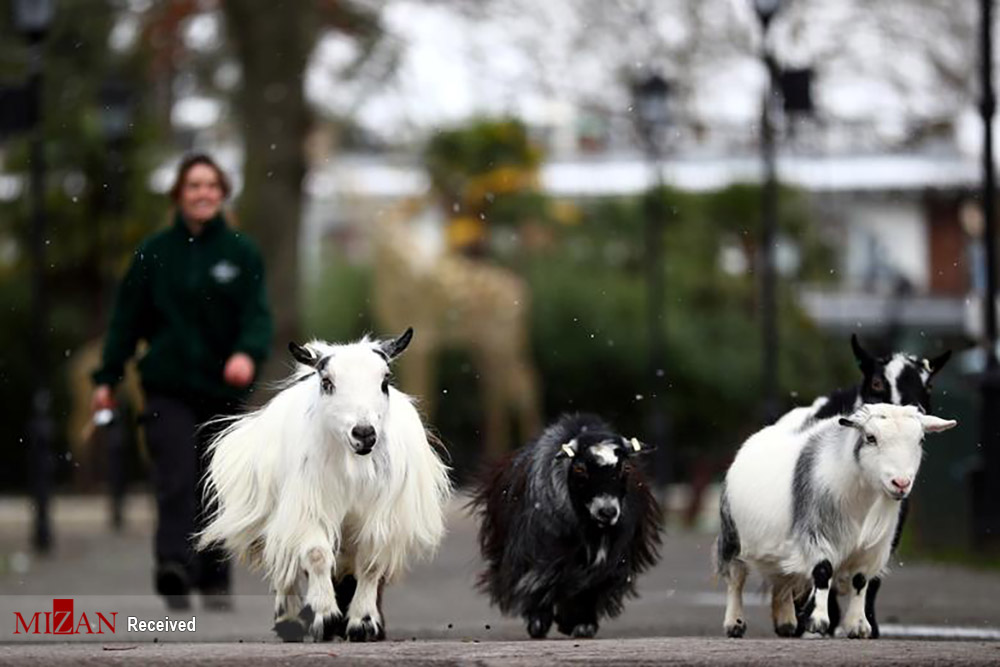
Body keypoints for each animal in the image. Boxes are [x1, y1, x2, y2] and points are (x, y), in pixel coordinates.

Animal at [196, 328, 454, 640]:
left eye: (384, 381)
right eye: (328, 383)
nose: (364, 433)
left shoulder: (381, 517)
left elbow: (370, 564)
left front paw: (363, 623)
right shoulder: (307, 508)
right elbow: (317, 555)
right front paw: (325, 617)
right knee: (285, 563)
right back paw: (289, 621)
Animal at [470, 412, 660, 640]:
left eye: (626, 467)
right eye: (580, 468)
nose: (607, 512)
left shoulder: (609, 562)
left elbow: (590, 589)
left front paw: (583, 625)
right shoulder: (539, 554)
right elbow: (539, 584)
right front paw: (539, 622)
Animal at [716, 404, 956, 640]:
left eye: (921, 440)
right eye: (871, 438)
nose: (901, 483)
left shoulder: (870, 548)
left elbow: (860, 581)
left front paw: (858, 626)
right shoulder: (817, 532)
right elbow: (823, 571)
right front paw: (819, 621)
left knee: (783, 578)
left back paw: (786, 623)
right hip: (732, 536)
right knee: (736, 579)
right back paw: (734, 624)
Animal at [772, 334, 952, 636]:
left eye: (928, 384)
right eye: (877, 383)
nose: (914, 412)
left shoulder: (889, 530)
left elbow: (871, 578)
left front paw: (866, 625)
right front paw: (821, 621)